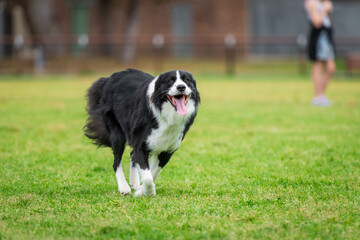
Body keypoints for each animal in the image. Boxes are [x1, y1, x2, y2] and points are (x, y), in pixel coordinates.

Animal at [86, 68, 201, 196]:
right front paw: (148, 192)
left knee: (132, 154)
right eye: (170, 81)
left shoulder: (167, 150)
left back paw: (134, 182)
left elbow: (153, 172)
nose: (181, 87)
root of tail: (108, 79)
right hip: (117, 133)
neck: (166, 113)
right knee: (116, 162)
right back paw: (124, 188)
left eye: (187, 80)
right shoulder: (141, 144)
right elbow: (148, 177)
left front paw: (141, 191)